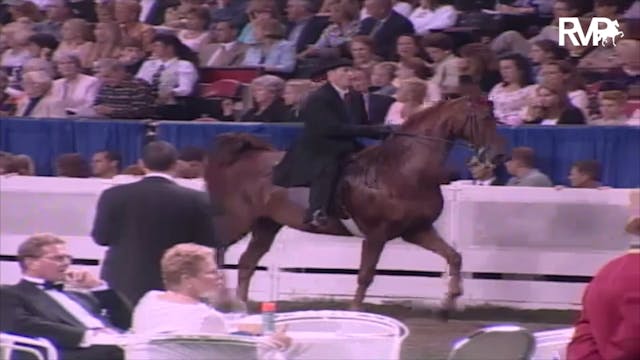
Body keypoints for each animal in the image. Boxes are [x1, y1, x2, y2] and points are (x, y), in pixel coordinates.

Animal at [204, 96, 500, 318]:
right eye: (485, 118)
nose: (497, 156)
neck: (402, 171)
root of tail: (243, 155)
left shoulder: (417, 230)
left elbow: (454, 256)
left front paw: (449, 302)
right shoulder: (377, 234)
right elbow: (366, 274)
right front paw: (355, 310)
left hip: (266, 224)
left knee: (246, 262)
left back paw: (241, 306)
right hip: (237, 220)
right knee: (216, 250)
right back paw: (219, 298)